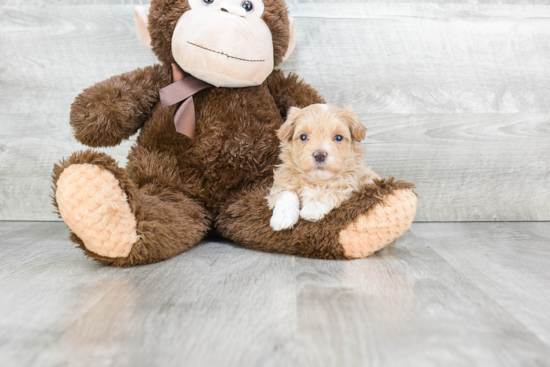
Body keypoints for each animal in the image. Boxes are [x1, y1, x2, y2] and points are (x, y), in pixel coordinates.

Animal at [270, 103, 382, 231]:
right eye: (303, 137)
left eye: (338, 137)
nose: (319, 155)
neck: (317, 180)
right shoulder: (285, 176)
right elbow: (286, 192)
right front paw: (282, 217)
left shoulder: (351, 182)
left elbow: (331, 190)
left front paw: (313, 209)